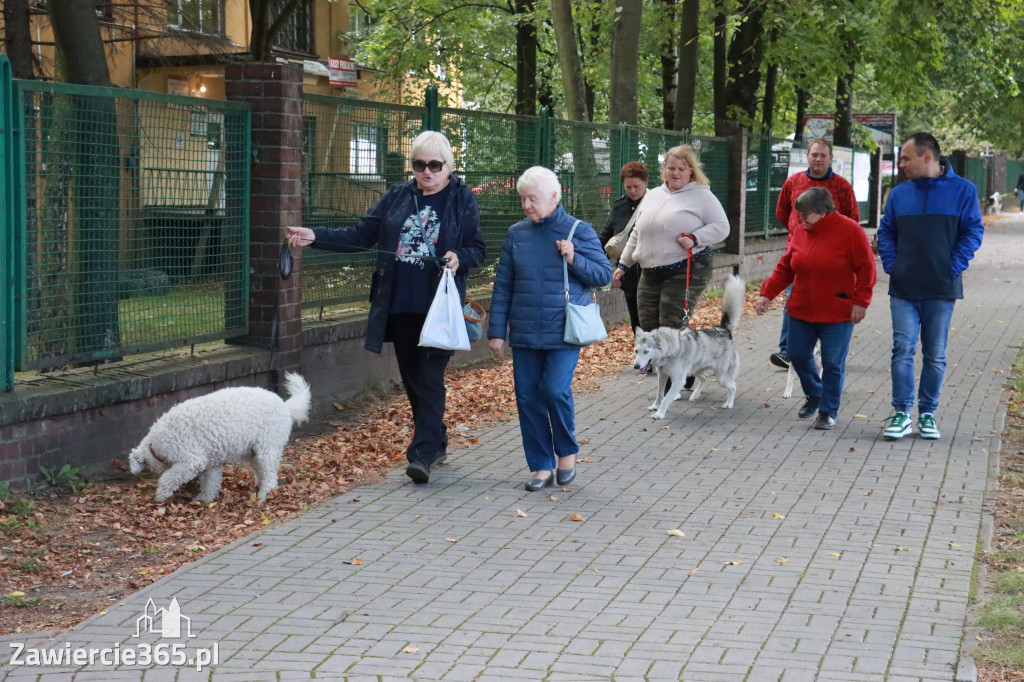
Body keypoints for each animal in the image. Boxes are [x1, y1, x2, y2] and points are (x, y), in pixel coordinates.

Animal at [125, 368, 307, 501]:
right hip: (253, 452)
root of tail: (285, 406)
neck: (156, 442)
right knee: (261, 470)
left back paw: (265, 492)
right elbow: (210, 484)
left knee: (270, 474)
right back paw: (259, 485)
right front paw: (204, 499)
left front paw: (161, 495)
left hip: (267, 448)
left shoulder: (191, 461)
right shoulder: (211, 463)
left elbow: (169, 478)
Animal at [630, 274, 745, 417]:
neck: (670, 351)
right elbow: (659, 394)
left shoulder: (678, 380)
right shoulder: (662, 376)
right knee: (704, 378)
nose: (636, 366)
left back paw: (729, 403)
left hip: (721, 377)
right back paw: (695, 395)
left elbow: (666, 398)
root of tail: (722, 329)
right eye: (636, 351)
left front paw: (660, 414)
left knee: (733, 386)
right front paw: (655, 406)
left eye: (646, 352)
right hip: (696, 369)